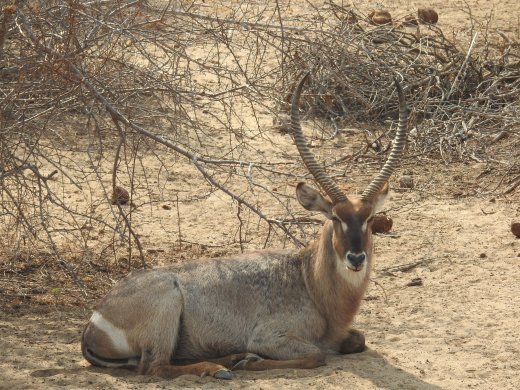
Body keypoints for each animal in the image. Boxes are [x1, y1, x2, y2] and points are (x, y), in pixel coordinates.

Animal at [81, 73, 408, 378]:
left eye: (369, 218)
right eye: (335, 217)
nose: (356, 258)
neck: (307, 279)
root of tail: (93, 322)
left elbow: (358, 340)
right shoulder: (269, 336)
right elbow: (317, 355)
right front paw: (253, 361)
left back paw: (229, 359)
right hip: (167, 304)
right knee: (155, 367)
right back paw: (221, 367)